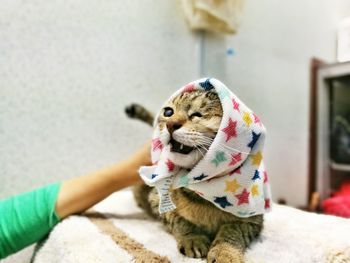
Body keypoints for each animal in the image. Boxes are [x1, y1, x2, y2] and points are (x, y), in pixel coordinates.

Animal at [126, 89, 262, 262]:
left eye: (197, 114)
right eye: (168, 112)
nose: (170, 124)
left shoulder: (253, 218)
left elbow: (233, 230)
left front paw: (225, 252)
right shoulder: (157, 201)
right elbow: (179, 219)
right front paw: (193, 238)